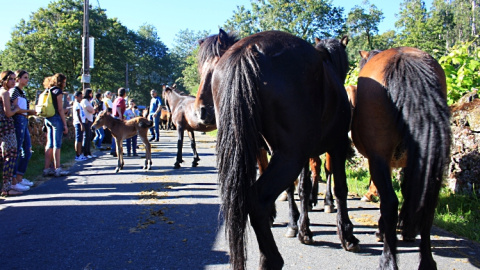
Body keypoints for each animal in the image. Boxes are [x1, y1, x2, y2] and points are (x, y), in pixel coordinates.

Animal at [198, 29, 356, 270]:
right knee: (257, 200)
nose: (201, 111)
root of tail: (248, 50)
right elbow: (339, 188)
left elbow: (302, 187)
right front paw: (345, 234)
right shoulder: (336, 145)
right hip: (291, 156)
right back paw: (271, 258)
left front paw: (301, 225)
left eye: (211, 67)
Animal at [350, 47, 452, 268]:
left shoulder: (381, 160)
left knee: (390, 202)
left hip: (378, 158)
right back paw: (426, 261)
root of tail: (404, 61)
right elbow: (410, 190)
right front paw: (407, 228)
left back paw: (388, 259)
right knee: (428, 204)